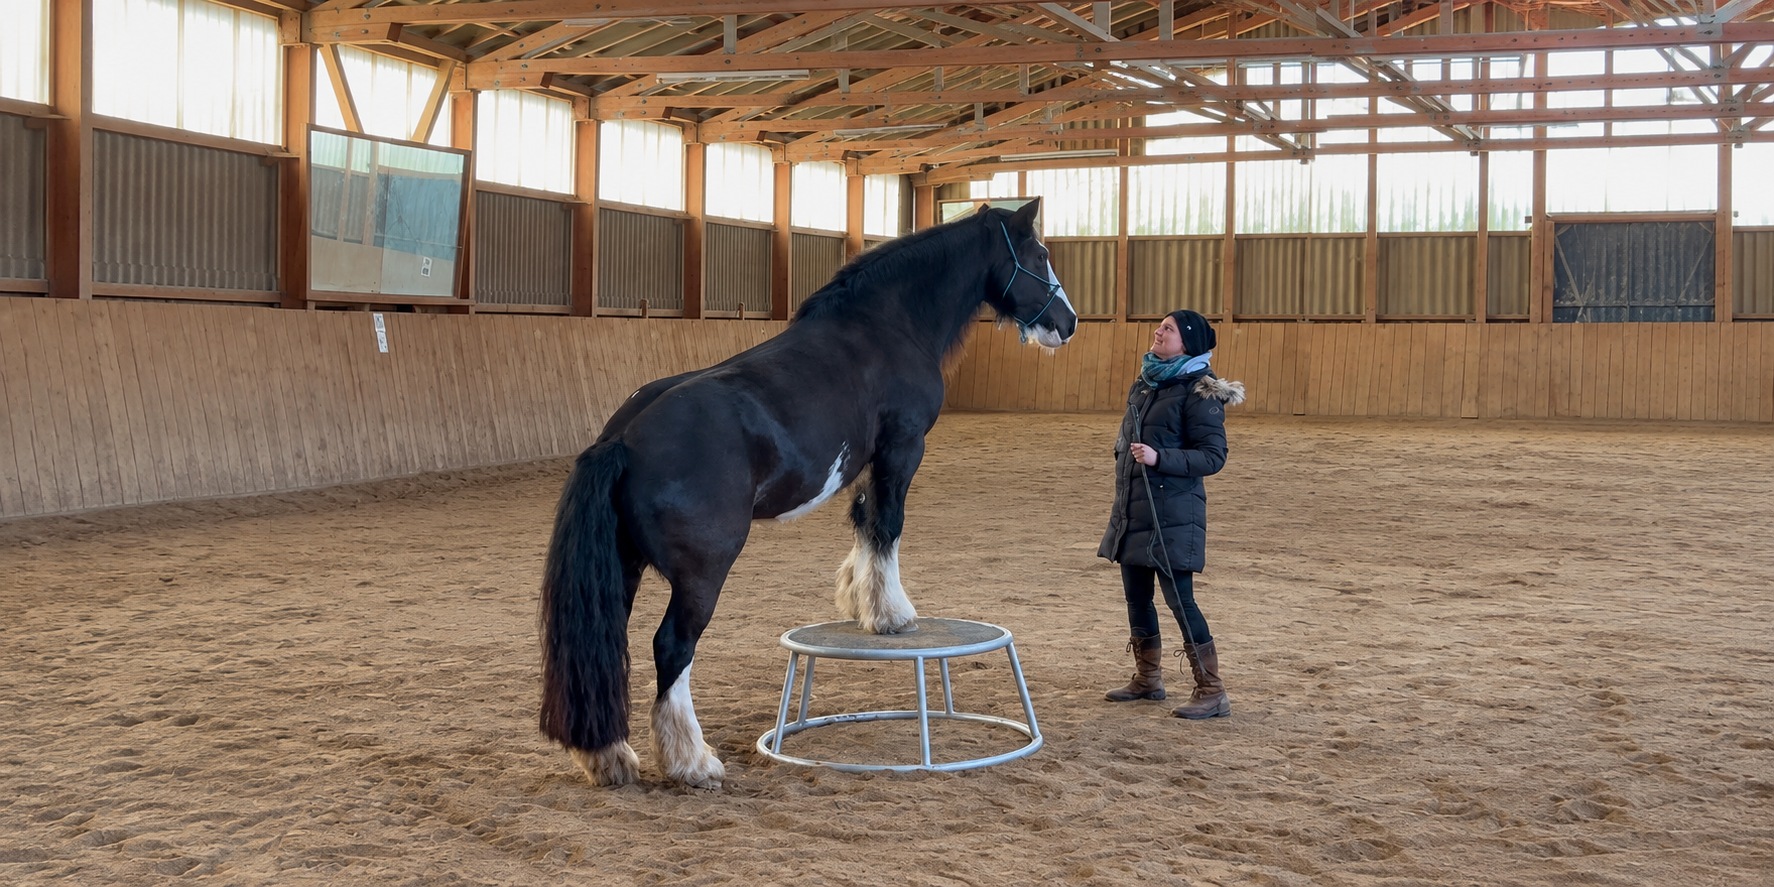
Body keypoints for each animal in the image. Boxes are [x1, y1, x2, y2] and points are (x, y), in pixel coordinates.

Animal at [539, 199, 1077, 789]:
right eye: (1039, 254)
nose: (1067, 322)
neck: (883, 326)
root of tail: (622, 440)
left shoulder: (869, 460)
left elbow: (865, 521)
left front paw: (860, 600)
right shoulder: (902, 447)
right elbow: (888, 525)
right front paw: (891, 615)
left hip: (623, 565)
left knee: (603, 643)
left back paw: (609, 756)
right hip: (702, 573)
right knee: (672, 647)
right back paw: (692, 761)